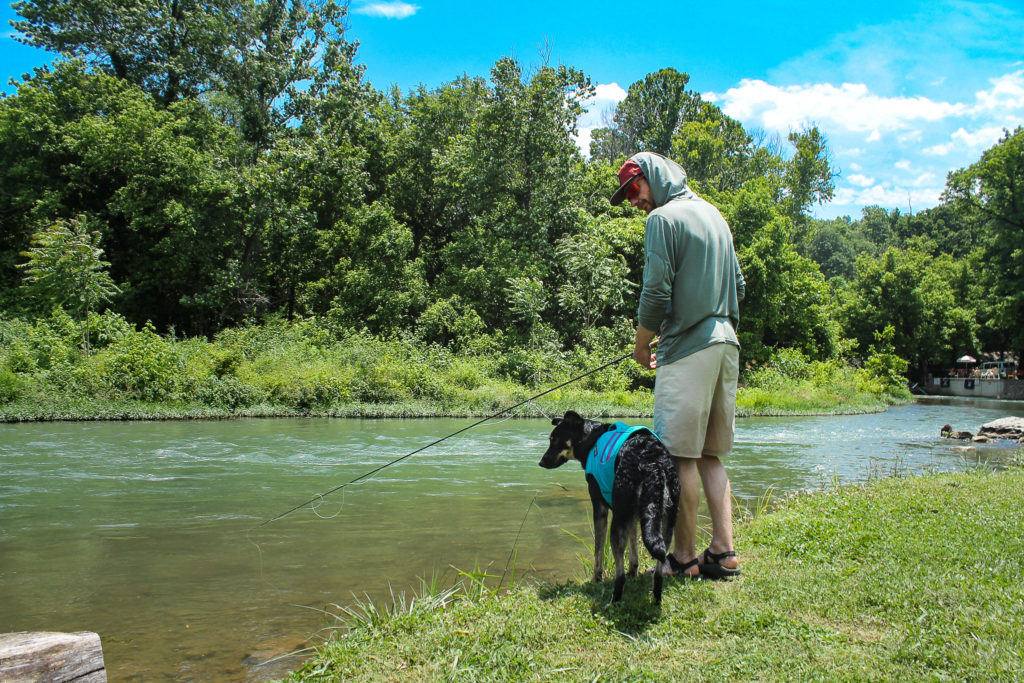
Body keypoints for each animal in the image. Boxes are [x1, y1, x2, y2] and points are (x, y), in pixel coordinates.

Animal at [540, 411, 684, 602]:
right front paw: (633, 572)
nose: (541, 462)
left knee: (619, 576)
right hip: (666, 524)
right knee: (659, 572)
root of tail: (653, 463)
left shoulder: (601, 508)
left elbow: (598, 550)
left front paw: (596, 579)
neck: (592, 438)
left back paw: (614, 601)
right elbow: (633, 549)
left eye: (555, 440)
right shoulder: (633, 515)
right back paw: (656, 600)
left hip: (617, 523)